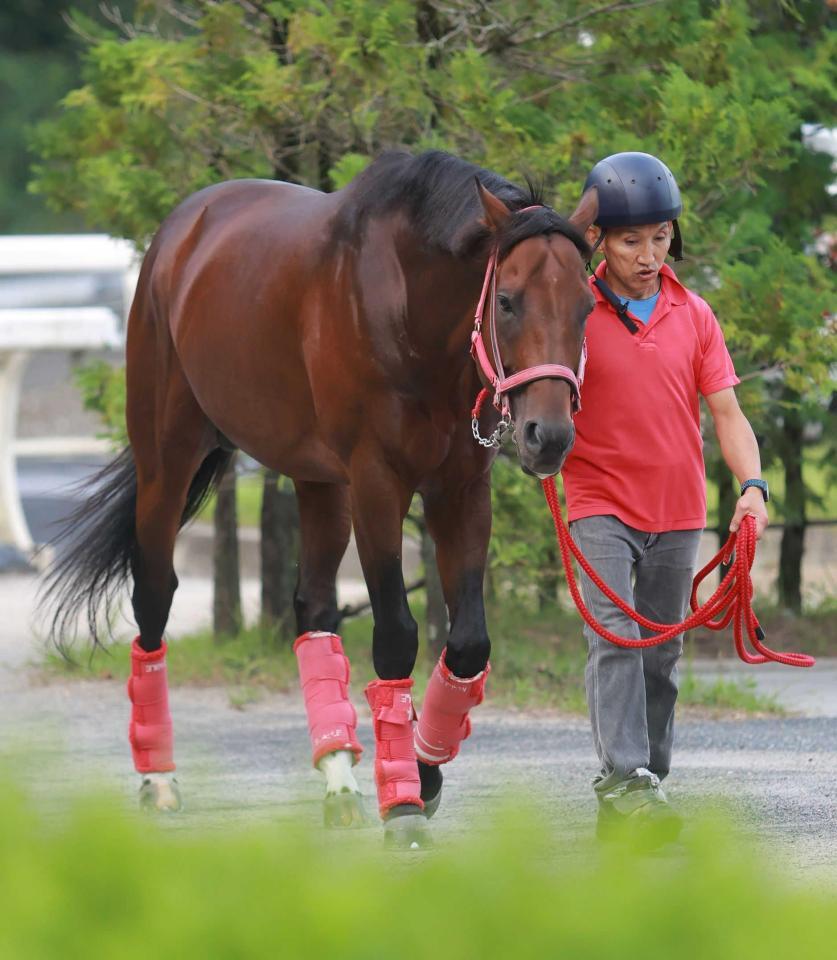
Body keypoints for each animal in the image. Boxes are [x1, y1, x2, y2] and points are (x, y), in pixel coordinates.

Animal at [44, 150, 596, 848]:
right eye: (506, 300)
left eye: (587, 304)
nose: (548, 435)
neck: (408, 308)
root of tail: (180, 230)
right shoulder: (376, 484)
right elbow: (396, 635)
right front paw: (404, 804)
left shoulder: (462, 490)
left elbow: (469, 644)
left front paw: (423, 771)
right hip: (167, 460)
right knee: (154, 595)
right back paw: (159, 777)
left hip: (318, 481)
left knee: (312, 607)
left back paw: (339, 778)